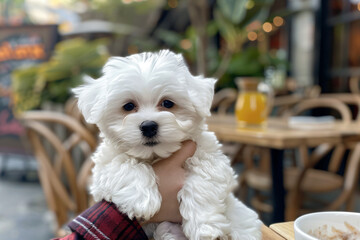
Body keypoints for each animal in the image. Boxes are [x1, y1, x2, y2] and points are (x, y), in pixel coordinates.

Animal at [72, 49, 262, 239]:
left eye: (168, 103)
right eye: (128, 106)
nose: (148, 126)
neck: (155, 155)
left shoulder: (209, 157)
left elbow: (204, 180)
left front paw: (205, 227)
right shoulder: (103, 168)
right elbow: (122, 164)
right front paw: (141, 200)